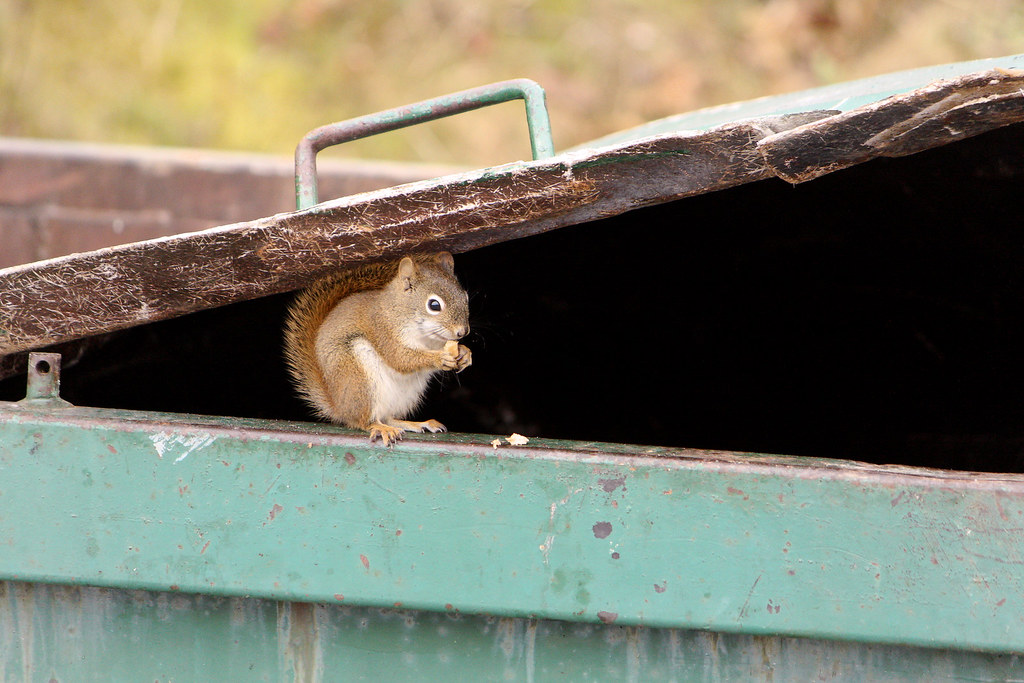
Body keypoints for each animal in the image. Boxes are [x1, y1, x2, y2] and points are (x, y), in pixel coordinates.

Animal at [280, 253, 471, 446]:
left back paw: (417, 423)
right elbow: (400, 358)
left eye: (466, 297)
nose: (462, 331)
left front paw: (465, 354)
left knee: (388, 417)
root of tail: (339, 407)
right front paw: (440, 358)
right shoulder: (382, 330)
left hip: (407, 394)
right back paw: (380, 428)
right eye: (434, 305)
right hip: (359, 379)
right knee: (363, 421)